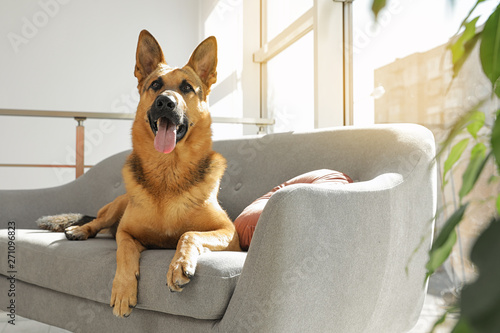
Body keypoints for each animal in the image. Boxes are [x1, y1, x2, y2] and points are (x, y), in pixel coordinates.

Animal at [39, 30, 242, 316]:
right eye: (155, 84)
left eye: (186, 87)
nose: (165, 102)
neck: (168, 171)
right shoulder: (126, 233)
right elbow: (124, 252)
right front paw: (123, 289)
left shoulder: (229, 233)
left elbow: (188, 234)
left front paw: (179, 264)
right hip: (116, 206)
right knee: (97, 222)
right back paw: (80, 230)